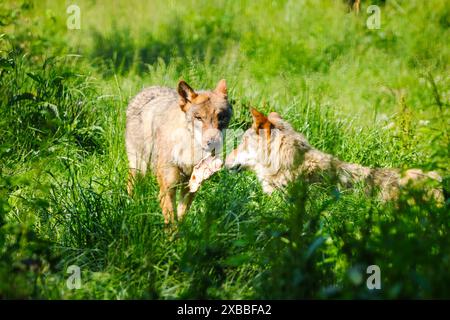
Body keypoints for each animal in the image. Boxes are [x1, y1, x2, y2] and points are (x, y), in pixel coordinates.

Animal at [126, 79, 232, 225]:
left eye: (221, 117)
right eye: (198, 117)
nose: (213, 141)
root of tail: (148, 89)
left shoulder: (191, 188)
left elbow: (181, 215)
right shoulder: (168, 189)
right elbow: (172, 221)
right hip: (139, 168)